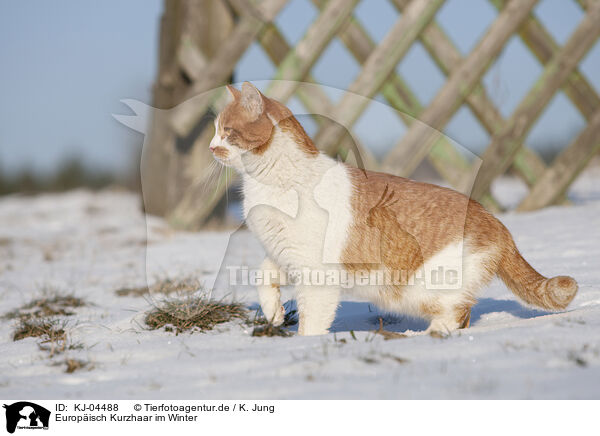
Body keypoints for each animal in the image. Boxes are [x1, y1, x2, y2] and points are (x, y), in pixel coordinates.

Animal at [210, 82, 576, 338]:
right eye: (216, 130)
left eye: (226, 131)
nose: (212, 147)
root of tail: (496, 220)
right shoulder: (285, 257)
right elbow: (263, 275)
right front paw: (273, 312)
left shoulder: (316, 273)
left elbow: (312, 322)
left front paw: (304, 345)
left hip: (423, 289)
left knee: (458, 312)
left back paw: (431, 335)